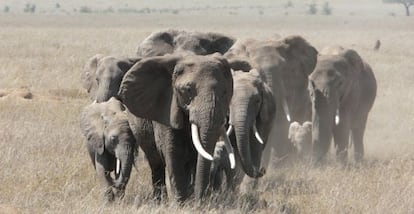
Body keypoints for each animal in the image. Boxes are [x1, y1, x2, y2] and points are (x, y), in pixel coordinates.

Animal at [119, 53, 236, 201]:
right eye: (188, 90)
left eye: (225, 92)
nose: (200, 200)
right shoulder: (167, 109)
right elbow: (174, 152)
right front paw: (181, 202)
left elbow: (196, 155)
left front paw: (192, 200)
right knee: (156, 163)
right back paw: (160, 201)